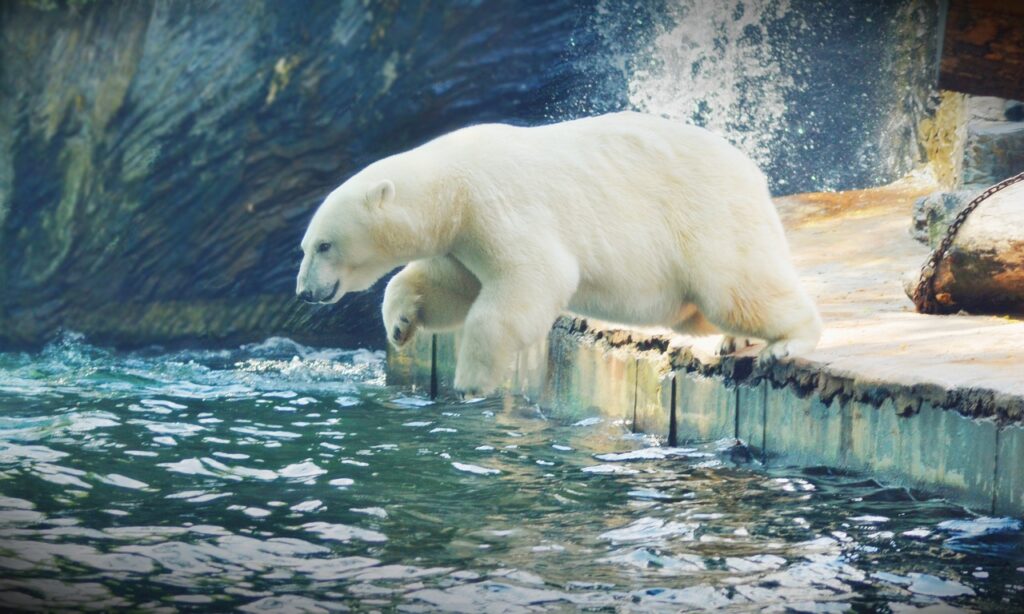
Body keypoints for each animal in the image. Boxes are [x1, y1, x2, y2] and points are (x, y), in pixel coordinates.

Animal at [294, 111, 815, 392]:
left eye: (323, 244)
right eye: (306, 245)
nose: (303, 292)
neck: (450, 188)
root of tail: (752, 171)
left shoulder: (498, 205)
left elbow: (529, 282)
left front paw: (470, 382)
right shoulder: (463, 235)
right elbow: (449, 285)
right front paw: (401, 323)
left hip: (706, 219)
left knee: (737, 288)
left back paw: (787, 341)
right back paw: (734, 341)